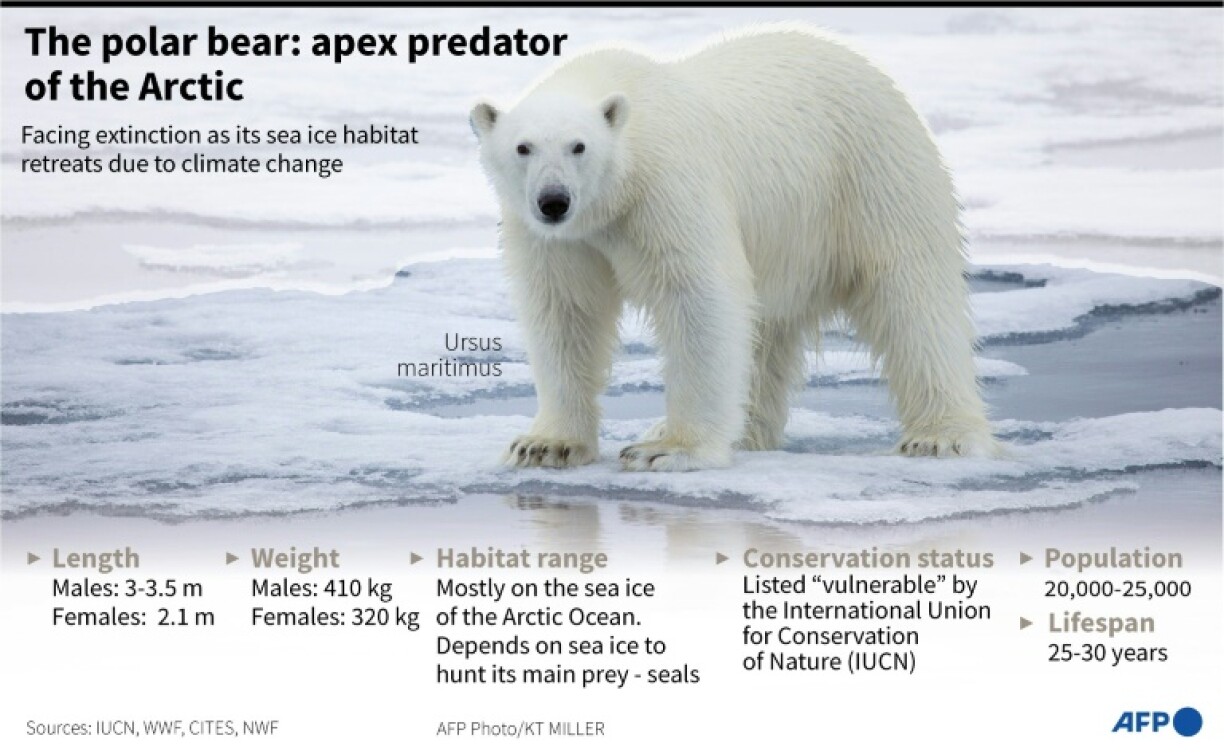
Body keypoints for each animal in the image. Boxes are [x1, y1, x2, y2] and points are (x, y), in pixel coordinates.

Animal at [471, 25, 999, 472]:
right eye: (523, 147)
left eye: (579, 146)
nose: (554, 200)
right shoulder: (557, 239)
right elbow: (564, 312)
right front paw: (545, 444)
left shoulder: (667, 188)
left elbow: (698, 297)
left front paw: (668, 449)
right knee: (765, 333)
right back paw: (744, 430)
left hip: (871, 178)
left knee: (911, 298)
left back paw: (940, 436)